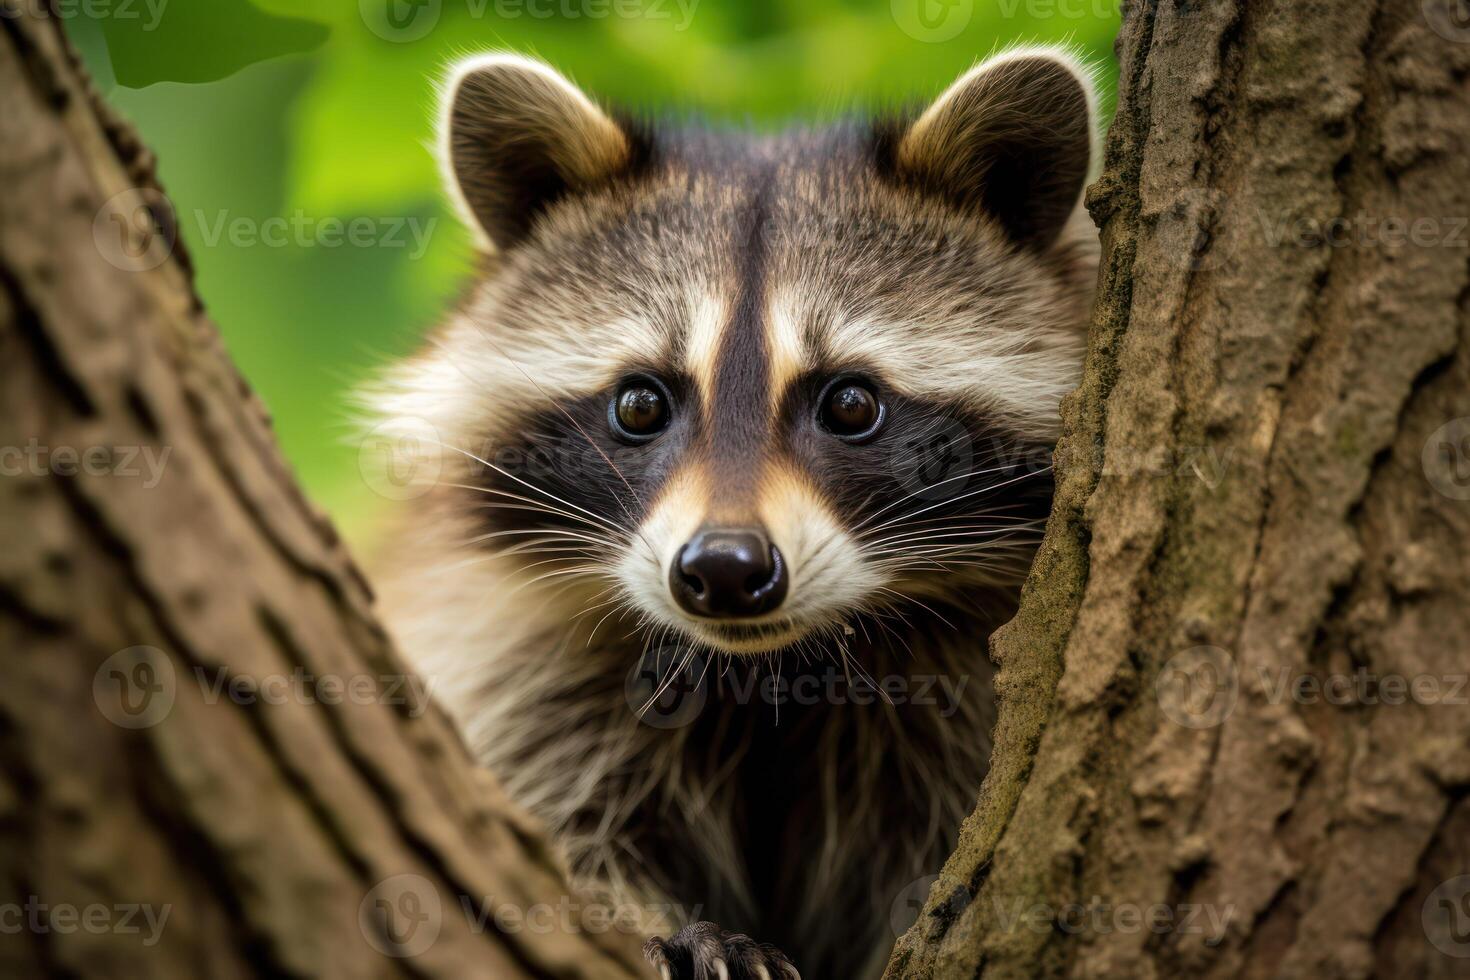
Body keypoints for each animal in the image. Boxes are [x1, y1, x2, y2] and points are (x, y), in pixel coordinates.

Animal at [373, 49, 1099, 980]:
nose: (723, 570)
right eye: (641, 404)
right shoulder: (510, 654)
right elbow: (542, 821)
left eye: (851, 403)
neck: (772, 669)